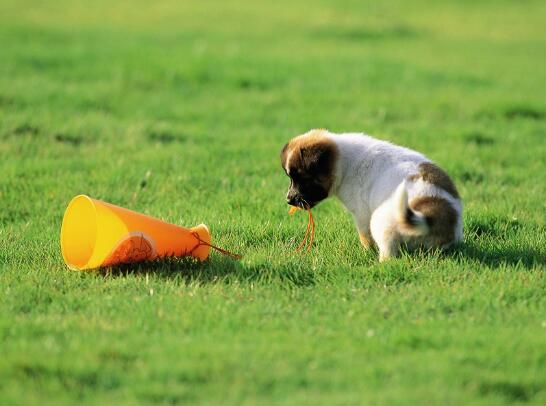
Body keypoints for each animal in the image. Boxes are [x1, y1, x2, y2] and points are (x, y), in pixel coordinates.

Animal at [278, 131, 462, 264]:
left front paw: (367, 252)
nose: (288, 200)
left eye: (303, 179)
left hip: (381, 221)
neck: (344, 162)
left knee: (388, 251)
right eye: (291, 178)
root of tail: (434, 216)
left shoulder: (362, 214)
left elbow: (365, 237)